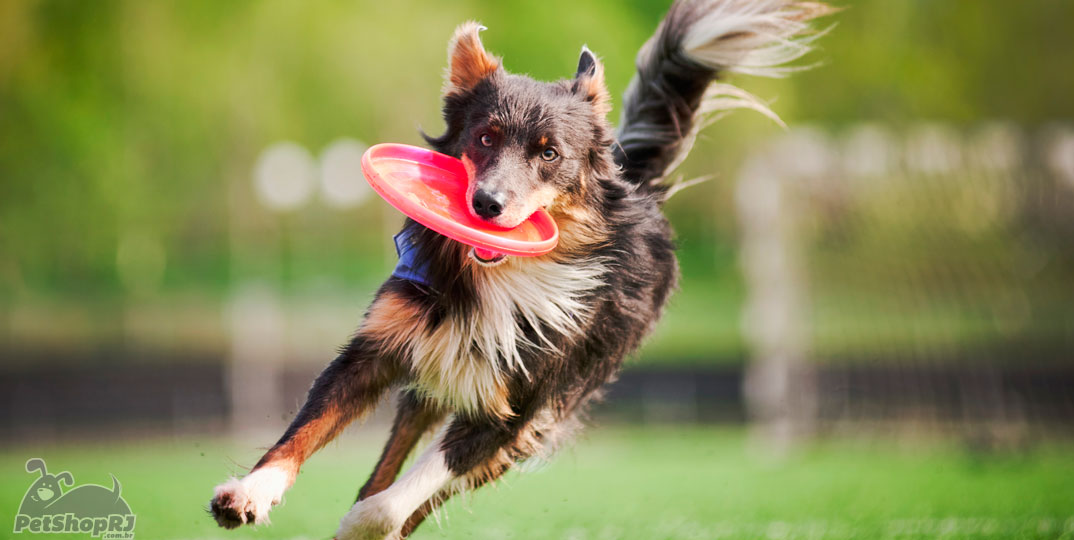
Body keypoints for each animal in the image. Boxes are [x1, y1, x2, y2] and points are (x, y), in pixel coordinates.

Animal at [209, 2, 829, 538]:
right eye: (485, 137)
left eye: (549, 153)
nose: (486, 205)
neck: (497, 279)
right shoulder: (380, 347)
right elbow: (308, 426)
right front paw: (251, 491)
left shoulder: (518, 408)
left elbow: (406, 493)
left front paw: (364, 523)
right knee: (396, 450)